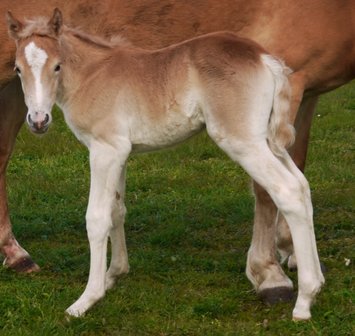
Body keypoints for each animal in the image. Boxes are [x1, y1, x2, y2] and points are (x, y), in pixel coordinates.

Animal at [0, 0, 354, 304]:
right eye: (17, 69)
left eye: (57, 66)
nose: (39, 120)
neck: (96, 73)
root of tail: (264, 59)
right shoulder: (120, 151)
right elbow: (117, 209)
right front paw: (115, 274)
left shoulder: (104, 151)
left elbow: (97, 217)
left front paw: (87, 299)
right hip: (270, 138)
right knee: (301, 187)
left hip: (247, 141)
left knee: (288, 189)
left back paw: (301, 296)